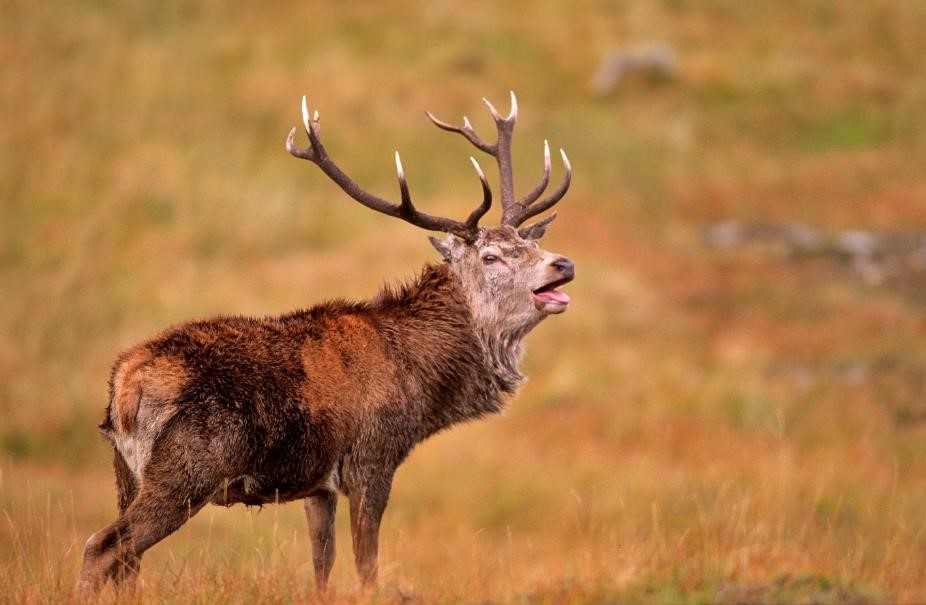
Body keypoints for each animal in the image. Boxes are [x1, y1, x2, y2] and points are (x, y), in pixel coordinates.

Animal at [78, 91, 574, 596]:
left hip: (126, 472)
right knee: (105, 546)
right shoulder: (372, 458)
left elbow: (323, 562)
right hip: (187, 468)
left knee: (129, 562)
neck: (420, 384)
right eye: (490, 256)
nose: (563, 264)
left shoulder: (318, 485)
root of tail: (124, 387)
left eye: (530, 244)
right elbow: (366, 564)